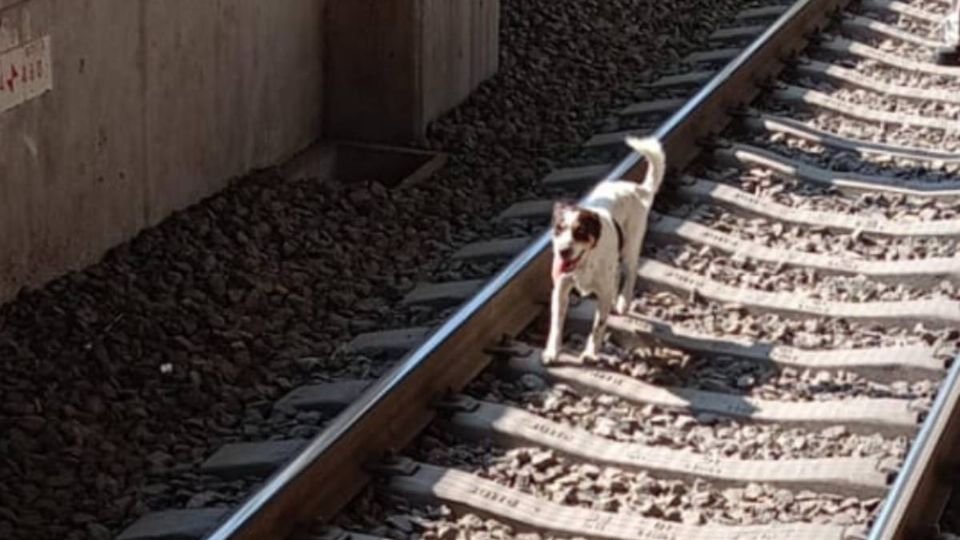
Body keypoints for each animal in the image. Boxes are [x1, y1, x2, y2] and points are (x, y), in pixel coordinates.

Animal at [544, 135, 664, 364]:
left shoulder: (604, 294)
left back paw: (624, 302)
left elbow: (598, 326)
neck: (585, 263)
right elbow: (556, 324)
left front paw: (591, 353)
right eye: (558, 229)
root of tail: (636, 189)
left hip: (631, 247)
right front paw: (552, 352)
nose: (563, 251)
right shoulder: (560, 288)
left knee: (631, 271)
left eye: (581, 232)